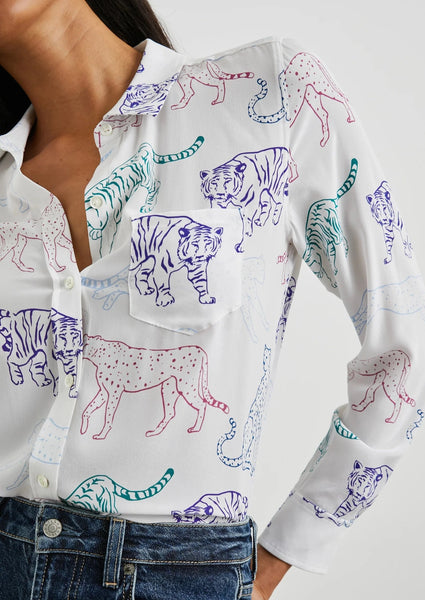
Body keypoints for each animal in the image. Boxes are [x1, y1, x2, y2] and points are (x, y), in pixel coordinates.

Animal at [303, 158, 358, 288]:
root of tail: (329, 199)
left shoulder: (325, 252)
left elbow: (329, 266)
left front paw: (333, 278)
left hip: (335, 228)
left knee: (342, 239)